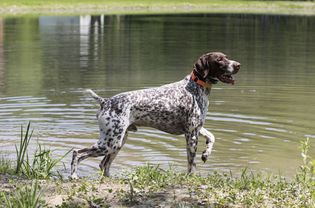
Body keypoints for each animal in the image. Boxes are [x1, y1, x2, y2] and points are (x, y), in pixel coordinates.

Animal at [70, 52, 241, 179]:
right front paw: (191, 177)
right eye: (219, 59)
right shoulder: (191, 134)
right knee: (77, 153)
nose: (238, 65)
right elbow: (191, 163)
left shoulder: (196, 128)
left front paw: (206, 154)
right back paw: (73, 176)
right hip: (109, 143)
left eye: (226, 57)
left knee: (103, 165)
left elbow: (212, 137)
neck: (195, 86)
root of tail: (105, 101)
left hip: (117, 142)